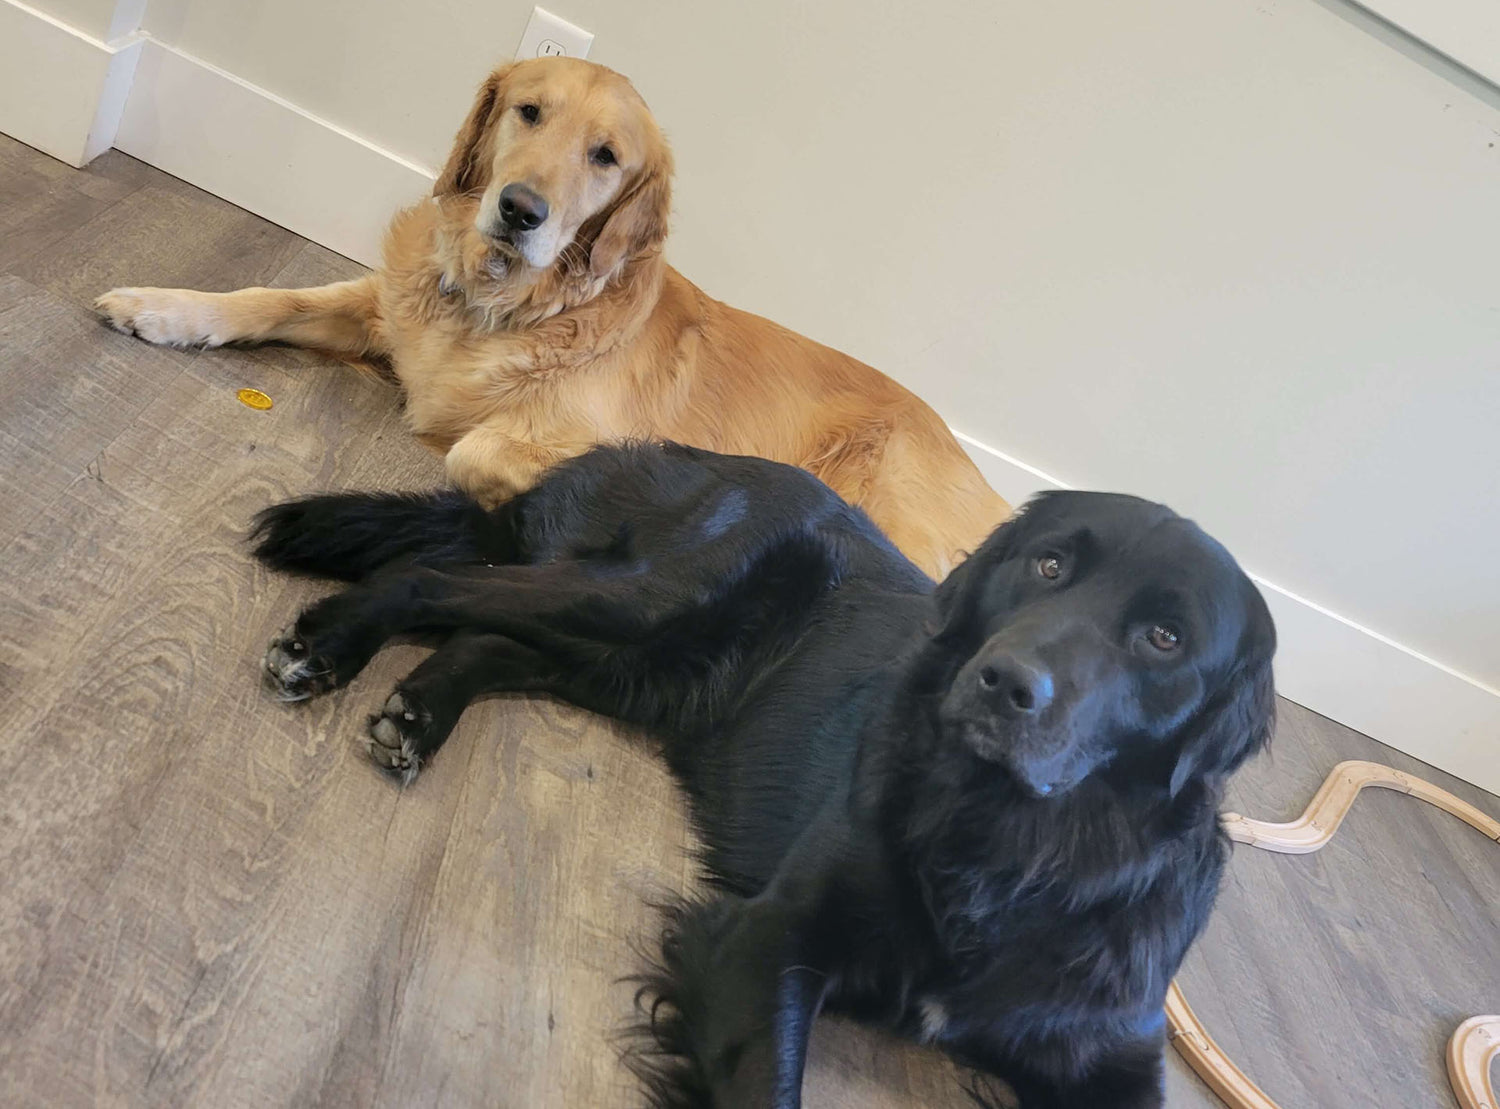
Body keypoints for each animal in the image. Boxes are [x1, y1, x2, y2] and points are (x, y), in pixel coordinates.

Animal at [252, 444, 1272, 1109]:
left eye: (1165, 636)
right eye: (1048, 563)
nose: (1006, 682)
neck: (1008, 848)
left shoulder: (1111, 1057)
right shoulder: (765, 937)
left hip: (641, 666)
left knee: (485, 637)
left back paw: (417, 714)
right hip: (644, 604)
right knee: (435, 581)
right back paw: (330, 644)